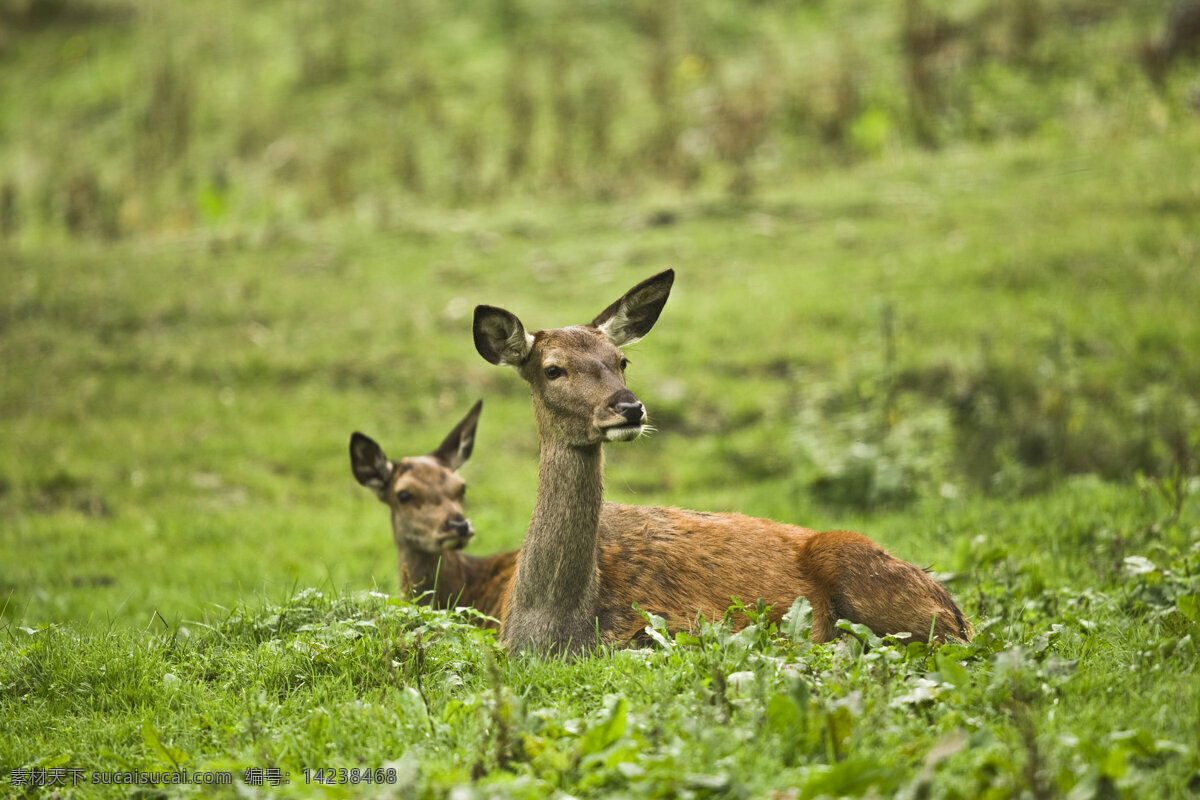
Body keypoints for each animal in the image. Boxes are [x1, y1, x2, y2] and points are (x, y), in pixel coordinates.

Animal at [472, 271, 969, 657]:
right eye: (553, 369)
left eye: (622, 360)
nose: (630, 408)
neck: (555, 634)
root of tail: (956, 609)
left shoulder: (674, 628)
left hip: (870, 574)